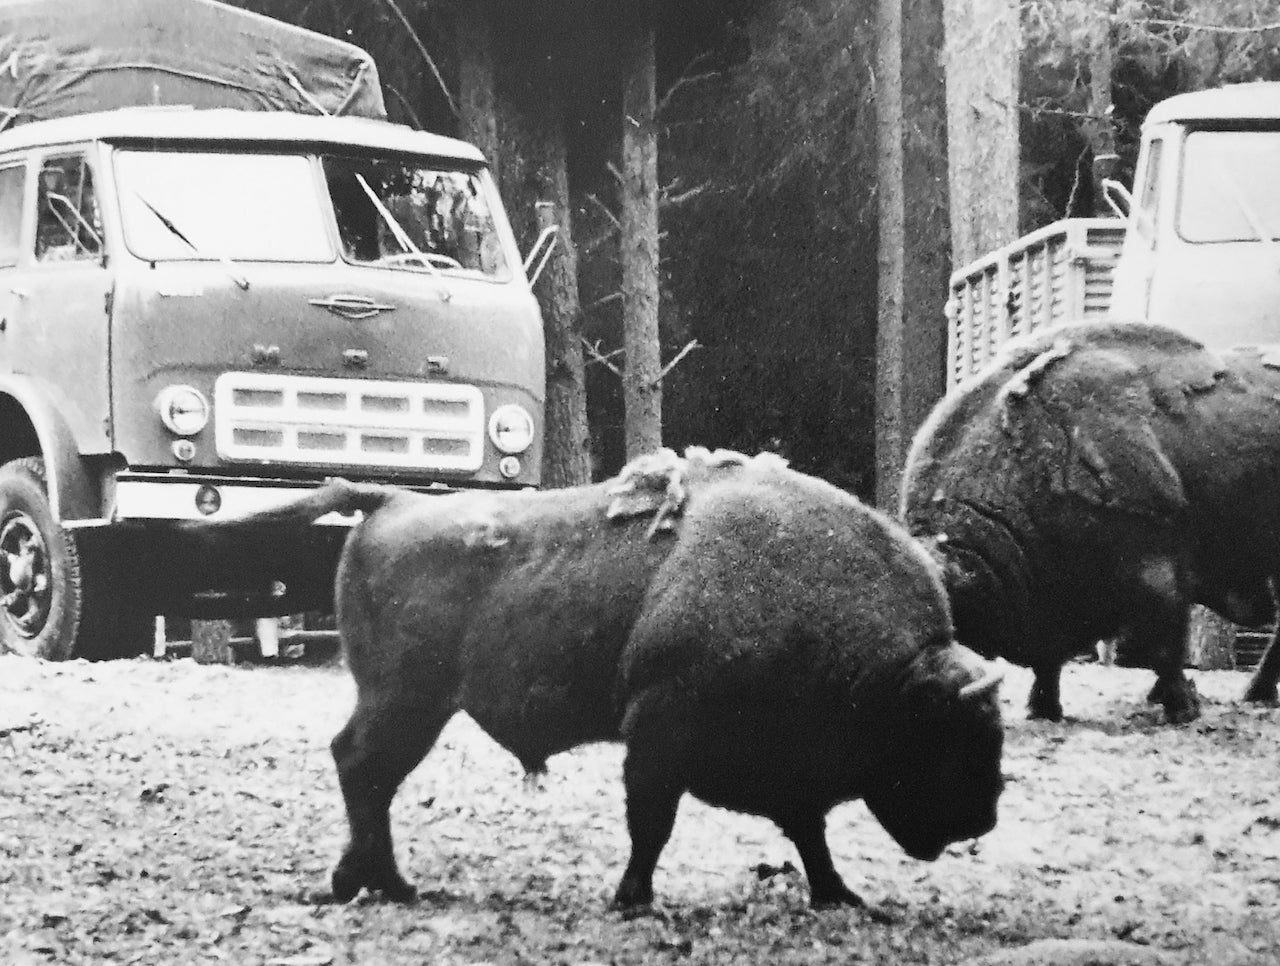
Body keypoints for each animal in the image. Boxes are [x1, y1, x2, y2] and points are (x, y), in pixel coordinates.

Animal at [220, 450, 1003, 910]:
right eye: (953, 738)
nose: (983, 819)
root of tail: (393, 501)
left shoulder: (781, 766)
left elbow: (807, 828)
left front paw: (840, 893)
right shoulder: (659, 733)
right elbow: (651, 822)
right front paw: (632, 897)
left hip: (407, 704)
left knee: (365, 770)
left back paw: (375, 881)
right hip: (406, 703)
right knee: (363, 766)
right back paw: (383, 883)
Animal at [896, 321, 1280, 721]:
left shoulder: (1158, 574)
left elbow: (1165, 649)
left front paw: (1182, 708)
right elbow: (1048, 660)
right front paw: (1042, 707)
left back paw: (1253, 693)